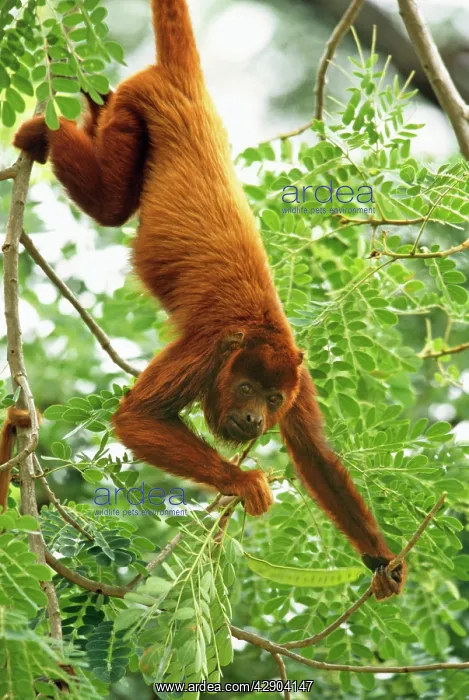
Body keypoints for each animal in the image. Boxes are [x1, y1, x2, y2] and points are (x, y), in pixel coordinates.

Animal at [12, 0, 406, 599]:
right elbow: (137, 418)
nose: (252, 420)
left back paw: (79, 106)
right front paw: (242, 481)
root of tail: (186, 85)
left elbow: (314, 453)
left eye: (272, 399)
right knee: (109, 203)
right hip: (136, 108)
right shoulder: (208, 348)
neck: (258, 331)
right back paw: (39, 130)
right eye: (244, 389)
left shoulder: (298, 373)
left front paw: (380, 558)